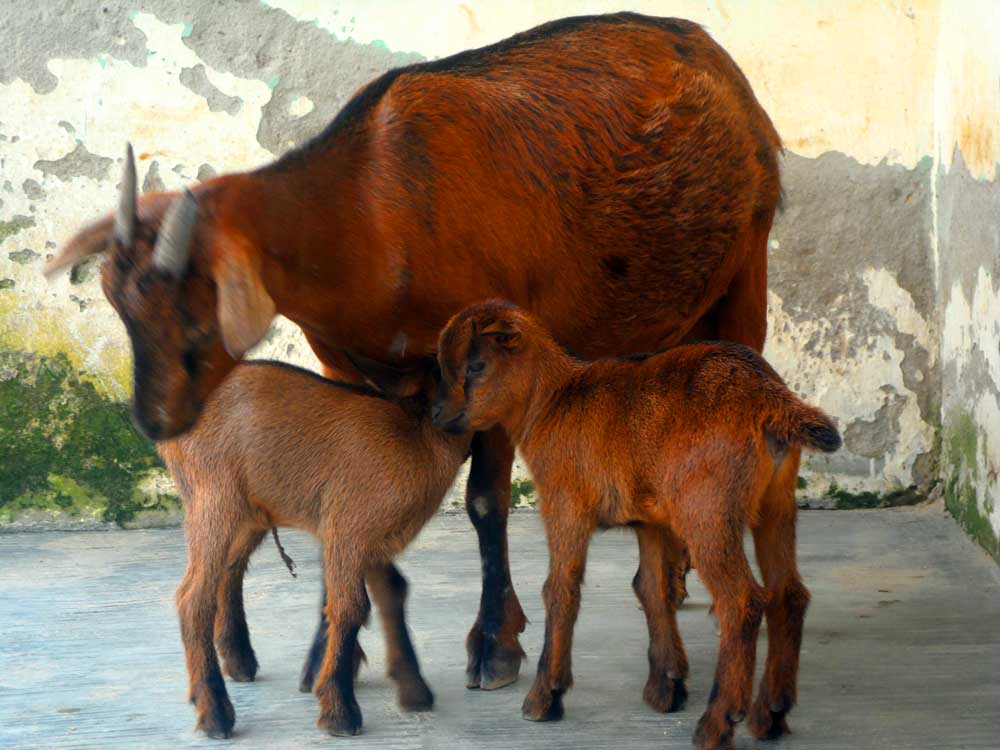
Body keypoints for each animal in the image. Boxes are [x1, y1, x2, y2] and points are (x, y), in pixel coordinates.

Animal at [47, 12, 782, 690]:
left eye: (197, 319)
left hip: (747, 267)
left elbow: (485, 502)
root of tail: (714, 57)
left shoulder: (490, 366)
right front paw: (331, 653)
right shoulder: (345, 365)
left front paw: (495, 645)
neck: (368, 211)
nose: (155, 422)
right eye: (121, 309)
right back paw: (675, 575)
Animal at [157, 358, 471, 738]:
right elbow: (351, 606)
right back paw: (215, 712)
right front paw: (339, 711)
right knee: (192, 596)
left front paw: (414, 690)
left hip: (251, 512)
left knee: (229, 570)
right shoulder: (348, 528)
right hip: (214, 499)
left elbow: (391, 591)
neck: (417, 438)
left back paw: (238, 662)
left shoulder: (370, 538)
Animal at [432, 302, 841, 750]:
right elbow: (651, 588)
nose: (437, 414)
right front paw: (666, 686)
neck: (552, 400)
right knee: (789, 595)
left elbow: (560, 589)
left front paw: (545, 696)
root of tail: (770, 399)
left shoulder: (565, 503)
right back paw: (771, 713)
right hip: (776, 504)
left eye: (476, 365)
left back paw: (717, 721)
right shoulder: (650, 519)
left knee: (742, 601)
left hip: (707, 511)